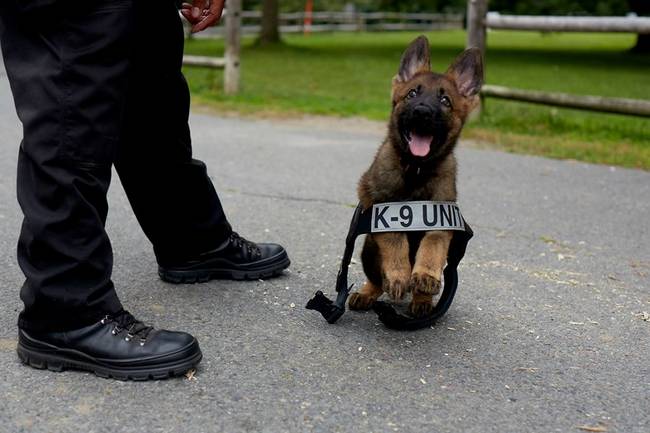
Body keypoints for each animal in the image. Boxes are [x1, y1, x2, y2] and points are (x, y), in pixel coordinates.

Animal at [350, 35, 480, 316]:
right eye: (412, 94)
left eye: (445, 101)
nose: (422, 112)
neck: (416, 170)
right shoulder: (382, 210)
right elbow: (395, 241)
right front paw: (399, 275)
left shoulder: (441, 217)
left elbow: (432, 246)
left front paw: (425, 276)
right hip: (368, 249)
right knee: (377, 280)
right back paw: (368, 292)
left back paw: (422, 299)